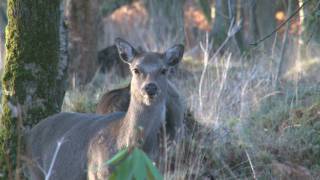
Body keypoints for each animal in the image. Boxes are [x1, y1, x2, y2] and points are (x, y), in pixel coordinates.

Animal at [24, 37, 185, 179]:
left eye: (164, 70)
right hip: (35, 170)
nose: (150, 87)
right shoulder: (97, 174)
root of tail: (30, 133)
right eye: (136, 69)